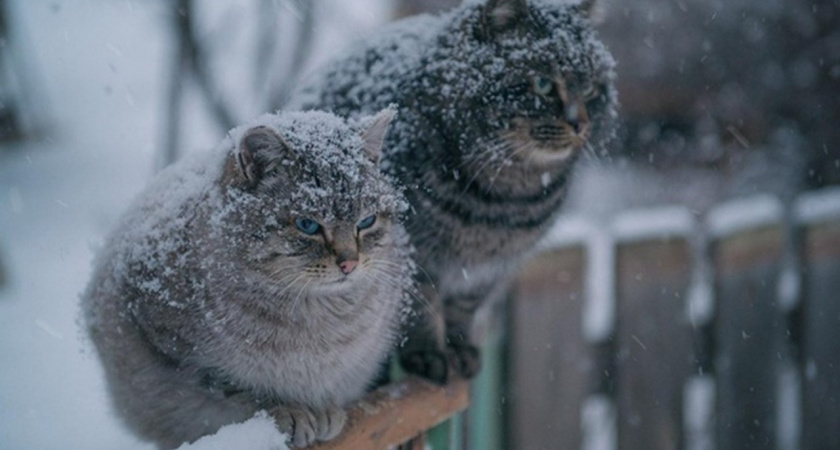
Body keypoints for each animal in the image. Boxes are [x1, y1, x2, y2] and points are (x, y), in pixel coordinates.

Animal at [80, 108, 416, 446]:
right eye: (308, 225)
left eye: (367, 221)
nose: (349, 263)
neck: (316, 317)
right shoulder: (183, 354)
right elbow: (241, 391)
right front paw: (291, 410)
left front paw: (323, 410)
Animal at [288, 0, 616, 384]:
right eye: (544, 84)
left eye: (592, 90)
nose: (580, 124)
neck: (505, 200)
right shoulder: (415, 253)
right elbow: (422, 306)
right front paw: (430, 354)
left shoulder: (490, 269)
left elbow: (463, 309)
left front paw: (460, 350)